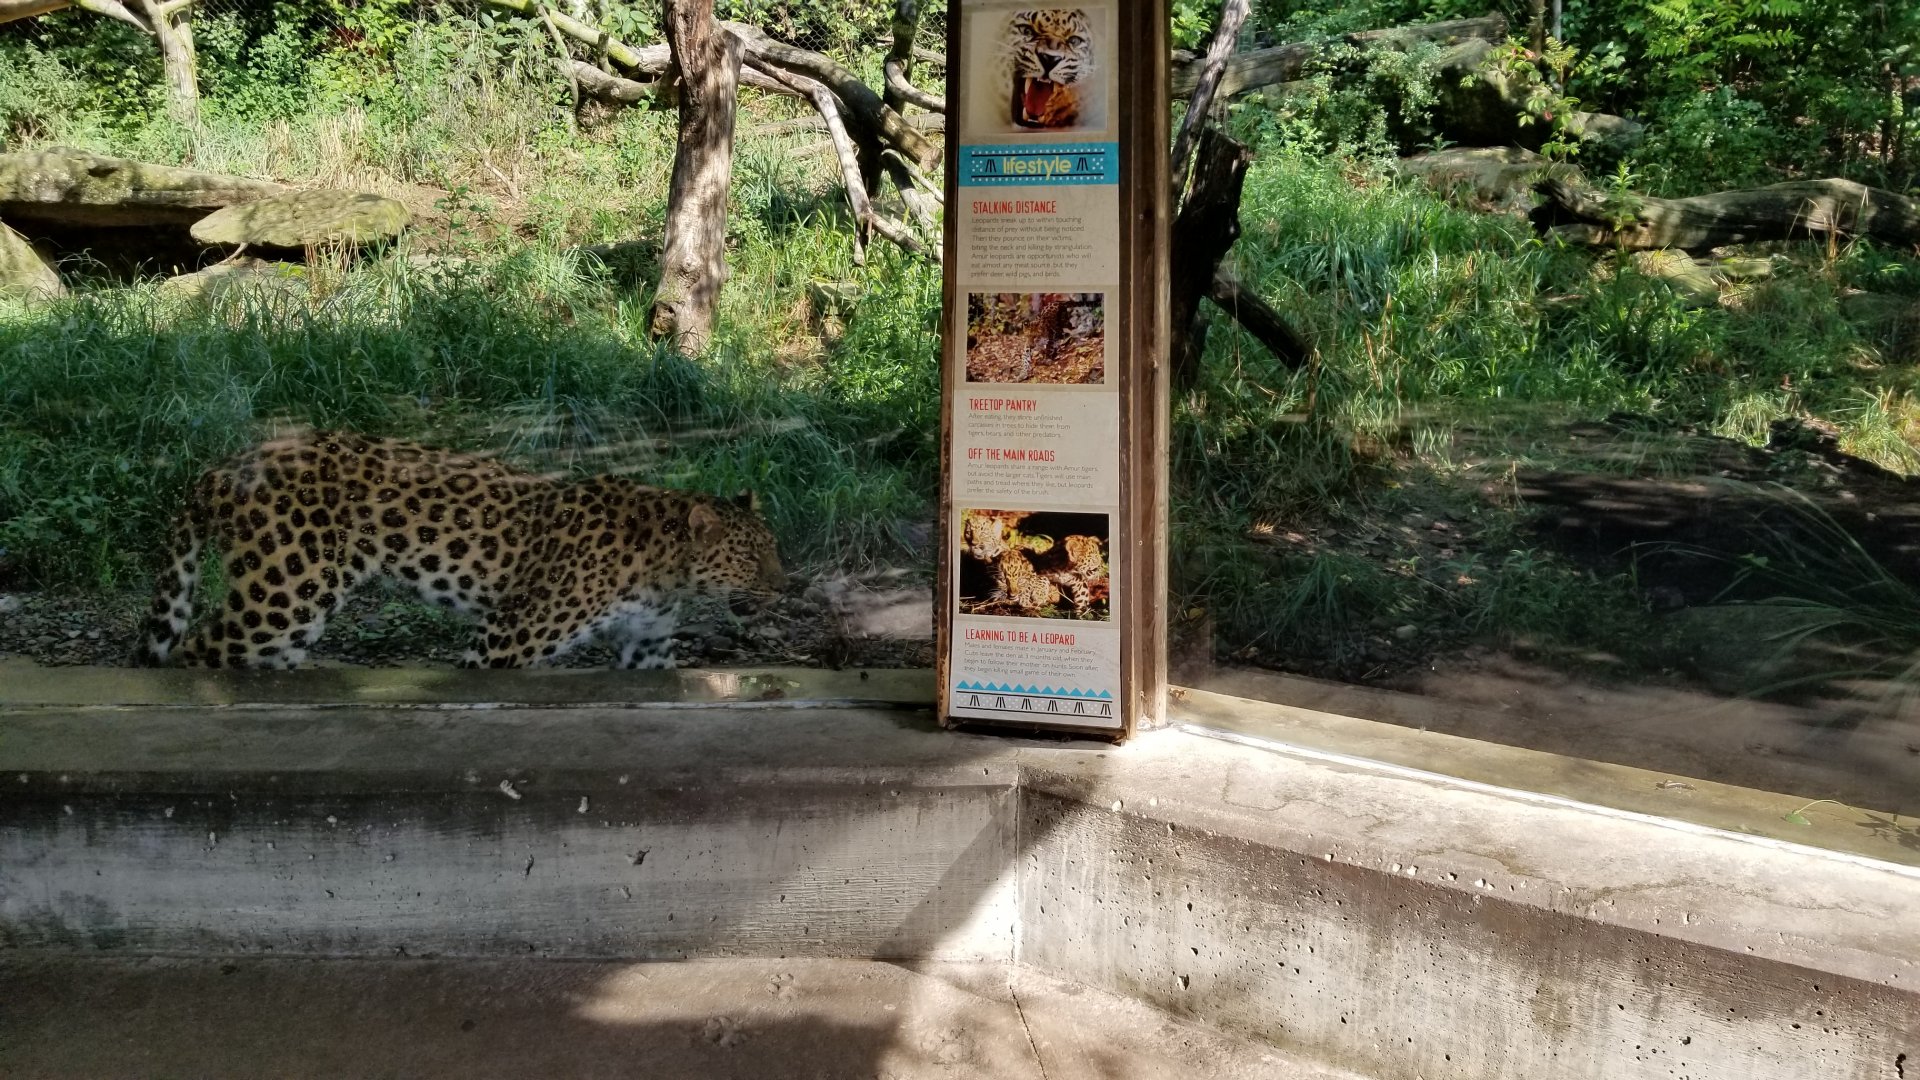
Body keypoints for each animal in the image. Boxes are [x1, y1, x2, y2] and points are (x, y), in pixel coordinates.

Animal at [135, 431, 788, 670]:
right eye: (751, 559)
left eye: (774, 550)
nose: (785, 587)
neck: (666, 571)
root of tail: (225, 465)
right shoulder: (506, 638)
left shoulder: (648, 646)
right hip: (282, 599)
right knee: (195, 649)